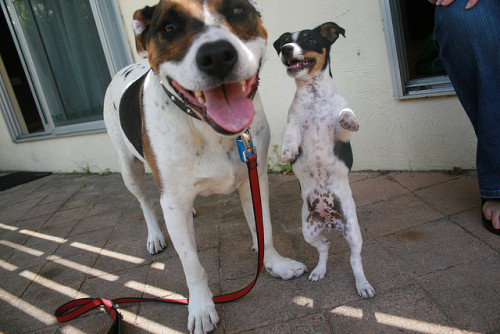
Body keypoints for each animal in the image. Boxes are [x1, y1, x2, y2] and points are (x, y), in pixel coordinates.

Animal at [274, 22, 376, 298]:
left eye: (309, 39)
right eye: (285, 41)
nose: (286, 49)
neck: (314, 95)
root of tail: (330, 221)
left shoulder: (339, 136)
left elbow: (344, 115)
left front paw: (349, 118)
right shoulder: (295, 122)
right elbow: (290, 129)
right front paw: (287, 151)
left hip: (352, 230)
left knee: (355, 259)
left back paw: (362, 284)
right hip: (309, 230)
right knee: (325, 246)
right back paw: (319, 270)